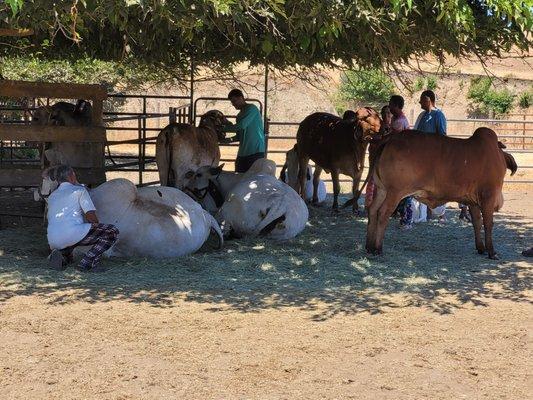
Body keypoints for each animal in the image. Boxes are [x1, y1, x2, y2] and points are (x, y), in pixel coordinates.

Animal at [364, 128, 516, 260]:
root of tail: (391, 137)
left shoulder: (473, 201)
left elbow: (477, 223)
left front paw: (481, 248)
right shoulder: (488, 197)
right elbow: (488, 224)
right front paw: (492, 252)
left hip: (382, 189)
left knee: (372, 209)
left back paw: (369, 247)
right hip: (394, 192)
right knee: (383, 213)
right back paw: (378, 249)